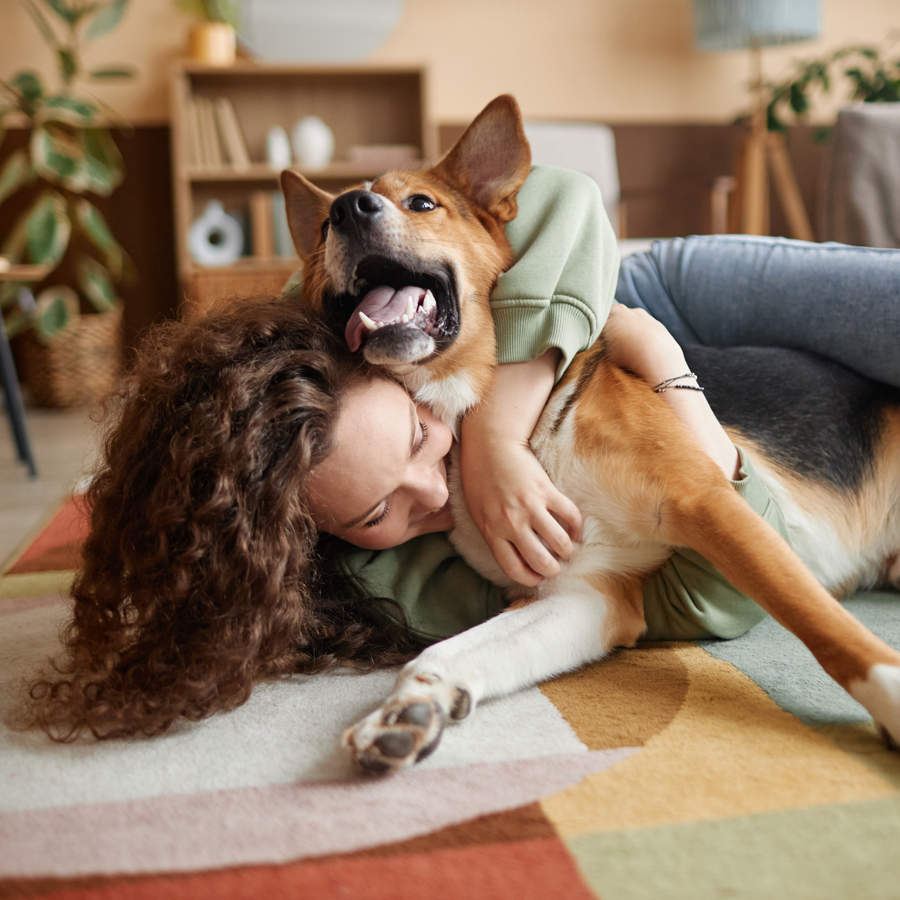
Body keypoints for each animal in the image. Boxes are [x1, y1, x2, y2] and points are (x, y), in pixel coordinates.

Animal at [282, 96, 900, 772]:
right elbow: (449, 651)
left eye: (421, 203)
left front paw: (891, 696)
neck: (492, 429)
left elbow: (824, 625)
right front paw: (412, 707)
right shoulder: (585, 592)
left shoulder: (708, 503)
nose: (347, 209)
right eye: (323, 230)